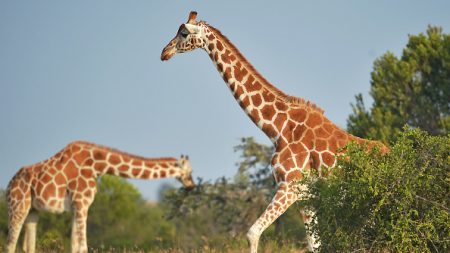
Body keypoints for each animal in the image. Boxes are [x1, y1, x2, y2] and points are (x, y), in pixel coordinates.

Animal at [4, 140, 195, 253]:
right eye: (189, 171)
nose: (192, 185)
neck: (97, 165)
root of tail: (8, 186)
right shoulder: (81, 203)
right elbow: (83, 248)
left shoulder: (76, 207)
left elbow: (75, 247)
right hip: (17, 207)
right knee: (9, 245)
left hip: (32, 210)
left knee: (27, 246)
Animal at [161, 10, 386, 252]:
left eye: (183, 33)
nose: (164, 52)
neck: (278, 128)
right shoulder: (306, 197)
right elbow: (314, 245)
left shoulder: (289, 186)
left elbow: (252, 233)